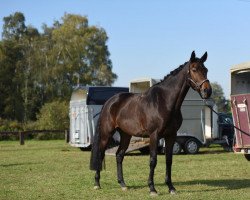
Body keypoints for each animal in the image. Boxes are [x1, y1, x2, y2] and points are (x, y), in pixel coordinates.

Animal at [89, 51, 211, 195]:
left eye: (206, 70)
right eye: (194, 69)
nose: (207, 91)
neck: (164, 102)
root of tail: (109, 102)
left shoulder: (171, 135)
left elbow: (169, 160)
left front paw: (171, 187)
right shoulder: (154, 135)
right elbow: (153, 160)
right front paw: (152, 188)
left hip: (125, 135)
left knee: (119, 155)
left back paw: (123, 184)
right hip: (106, 133)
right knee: (101, 154)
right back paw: (97, 184)